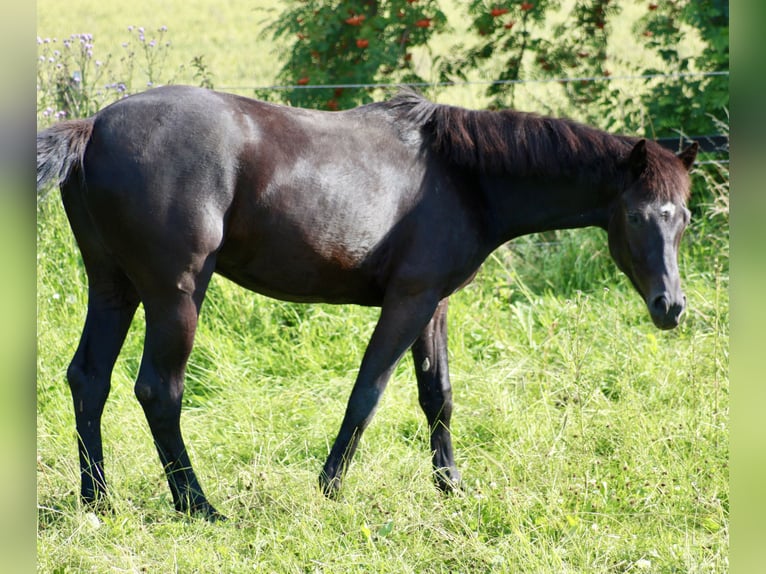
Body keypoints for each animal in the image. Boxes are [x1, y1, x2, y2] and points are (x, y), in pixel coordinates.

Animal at [36, 86, 700, 520]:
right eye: (638, 215)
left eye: (685, 218)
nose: (670, 307)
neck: (461, 176)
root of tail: (93, 128)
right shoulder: (407, 303)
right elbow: (368, 394)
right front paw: (329, 488)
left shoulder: (433, 305)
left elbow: (438, 397)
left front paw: (451, 488)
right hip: (176, 296)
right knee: (158, 391)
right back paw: (198, 505)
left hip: (114, 287)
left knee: (89, 379)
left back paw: (98, 502)